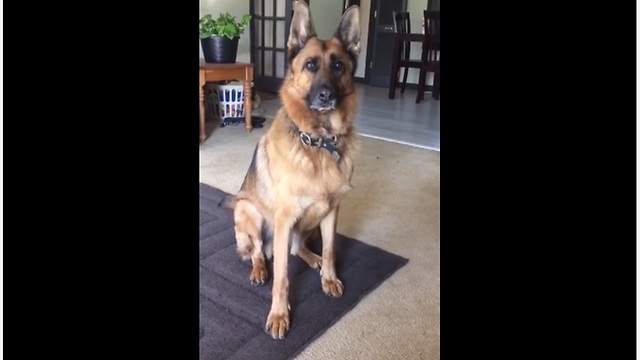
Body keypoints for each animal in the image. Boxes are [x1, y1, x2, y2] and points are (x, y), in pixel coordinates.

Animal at [228, 0, 360, 338]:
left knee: (295, 249)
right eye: (311, 65)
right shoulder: (284, 220)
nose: (327, 95)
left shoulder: (331, 211)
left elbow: (330, 249)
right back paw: (260, 269)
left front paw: (328, 277)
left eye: (338, 66)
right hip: (250, 211)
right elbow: (283, 277)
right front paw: (279, 315)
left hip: (308, 225)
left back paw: (312, 258)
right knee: (260, 252)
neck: (318, 142)